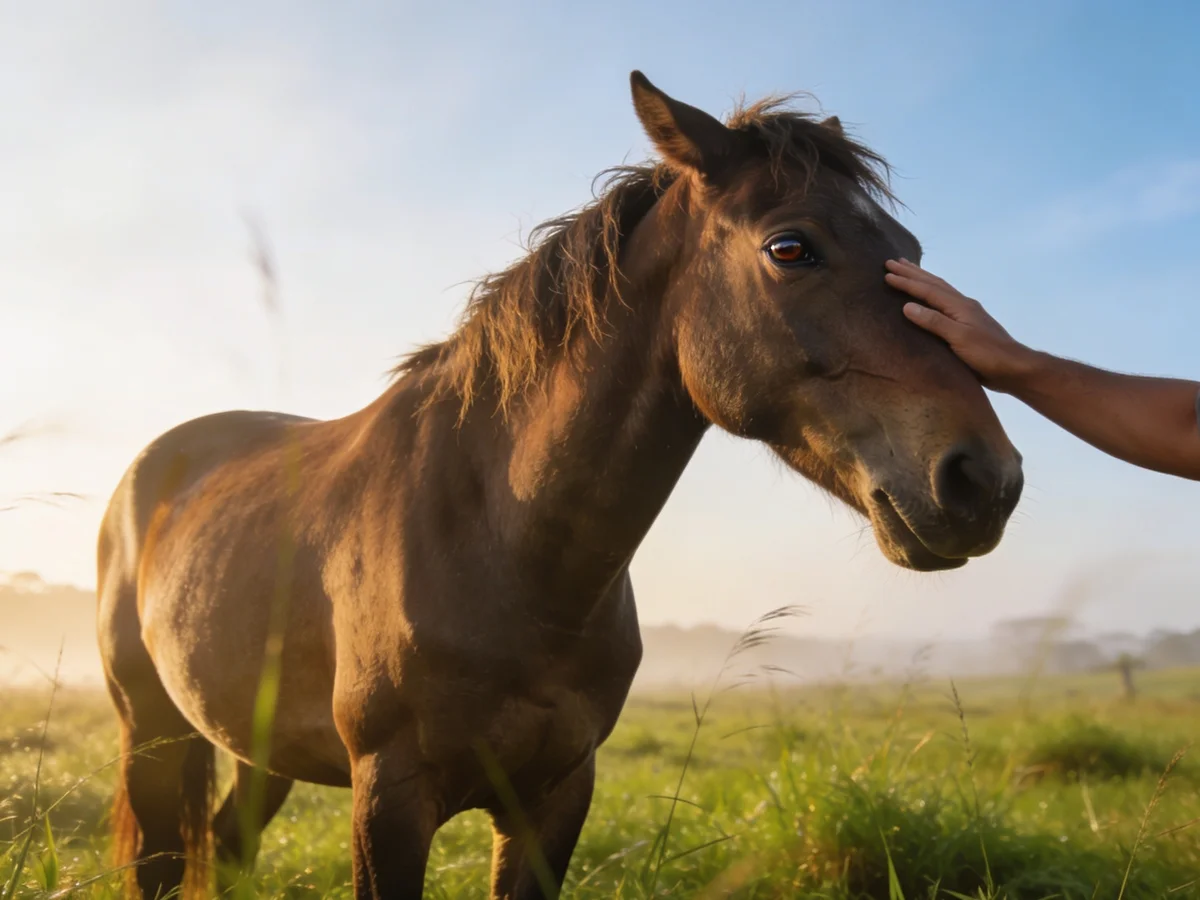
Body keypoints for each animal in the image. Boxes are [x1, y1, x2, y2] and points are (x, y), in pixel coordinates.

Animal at [97, 71, 1023, 900]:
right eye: (790, 247)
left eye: (911, 256)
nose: (985, 480)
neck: (500, 545)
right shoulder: (388, 799)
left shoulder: (556, 796)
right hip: (151, 730)